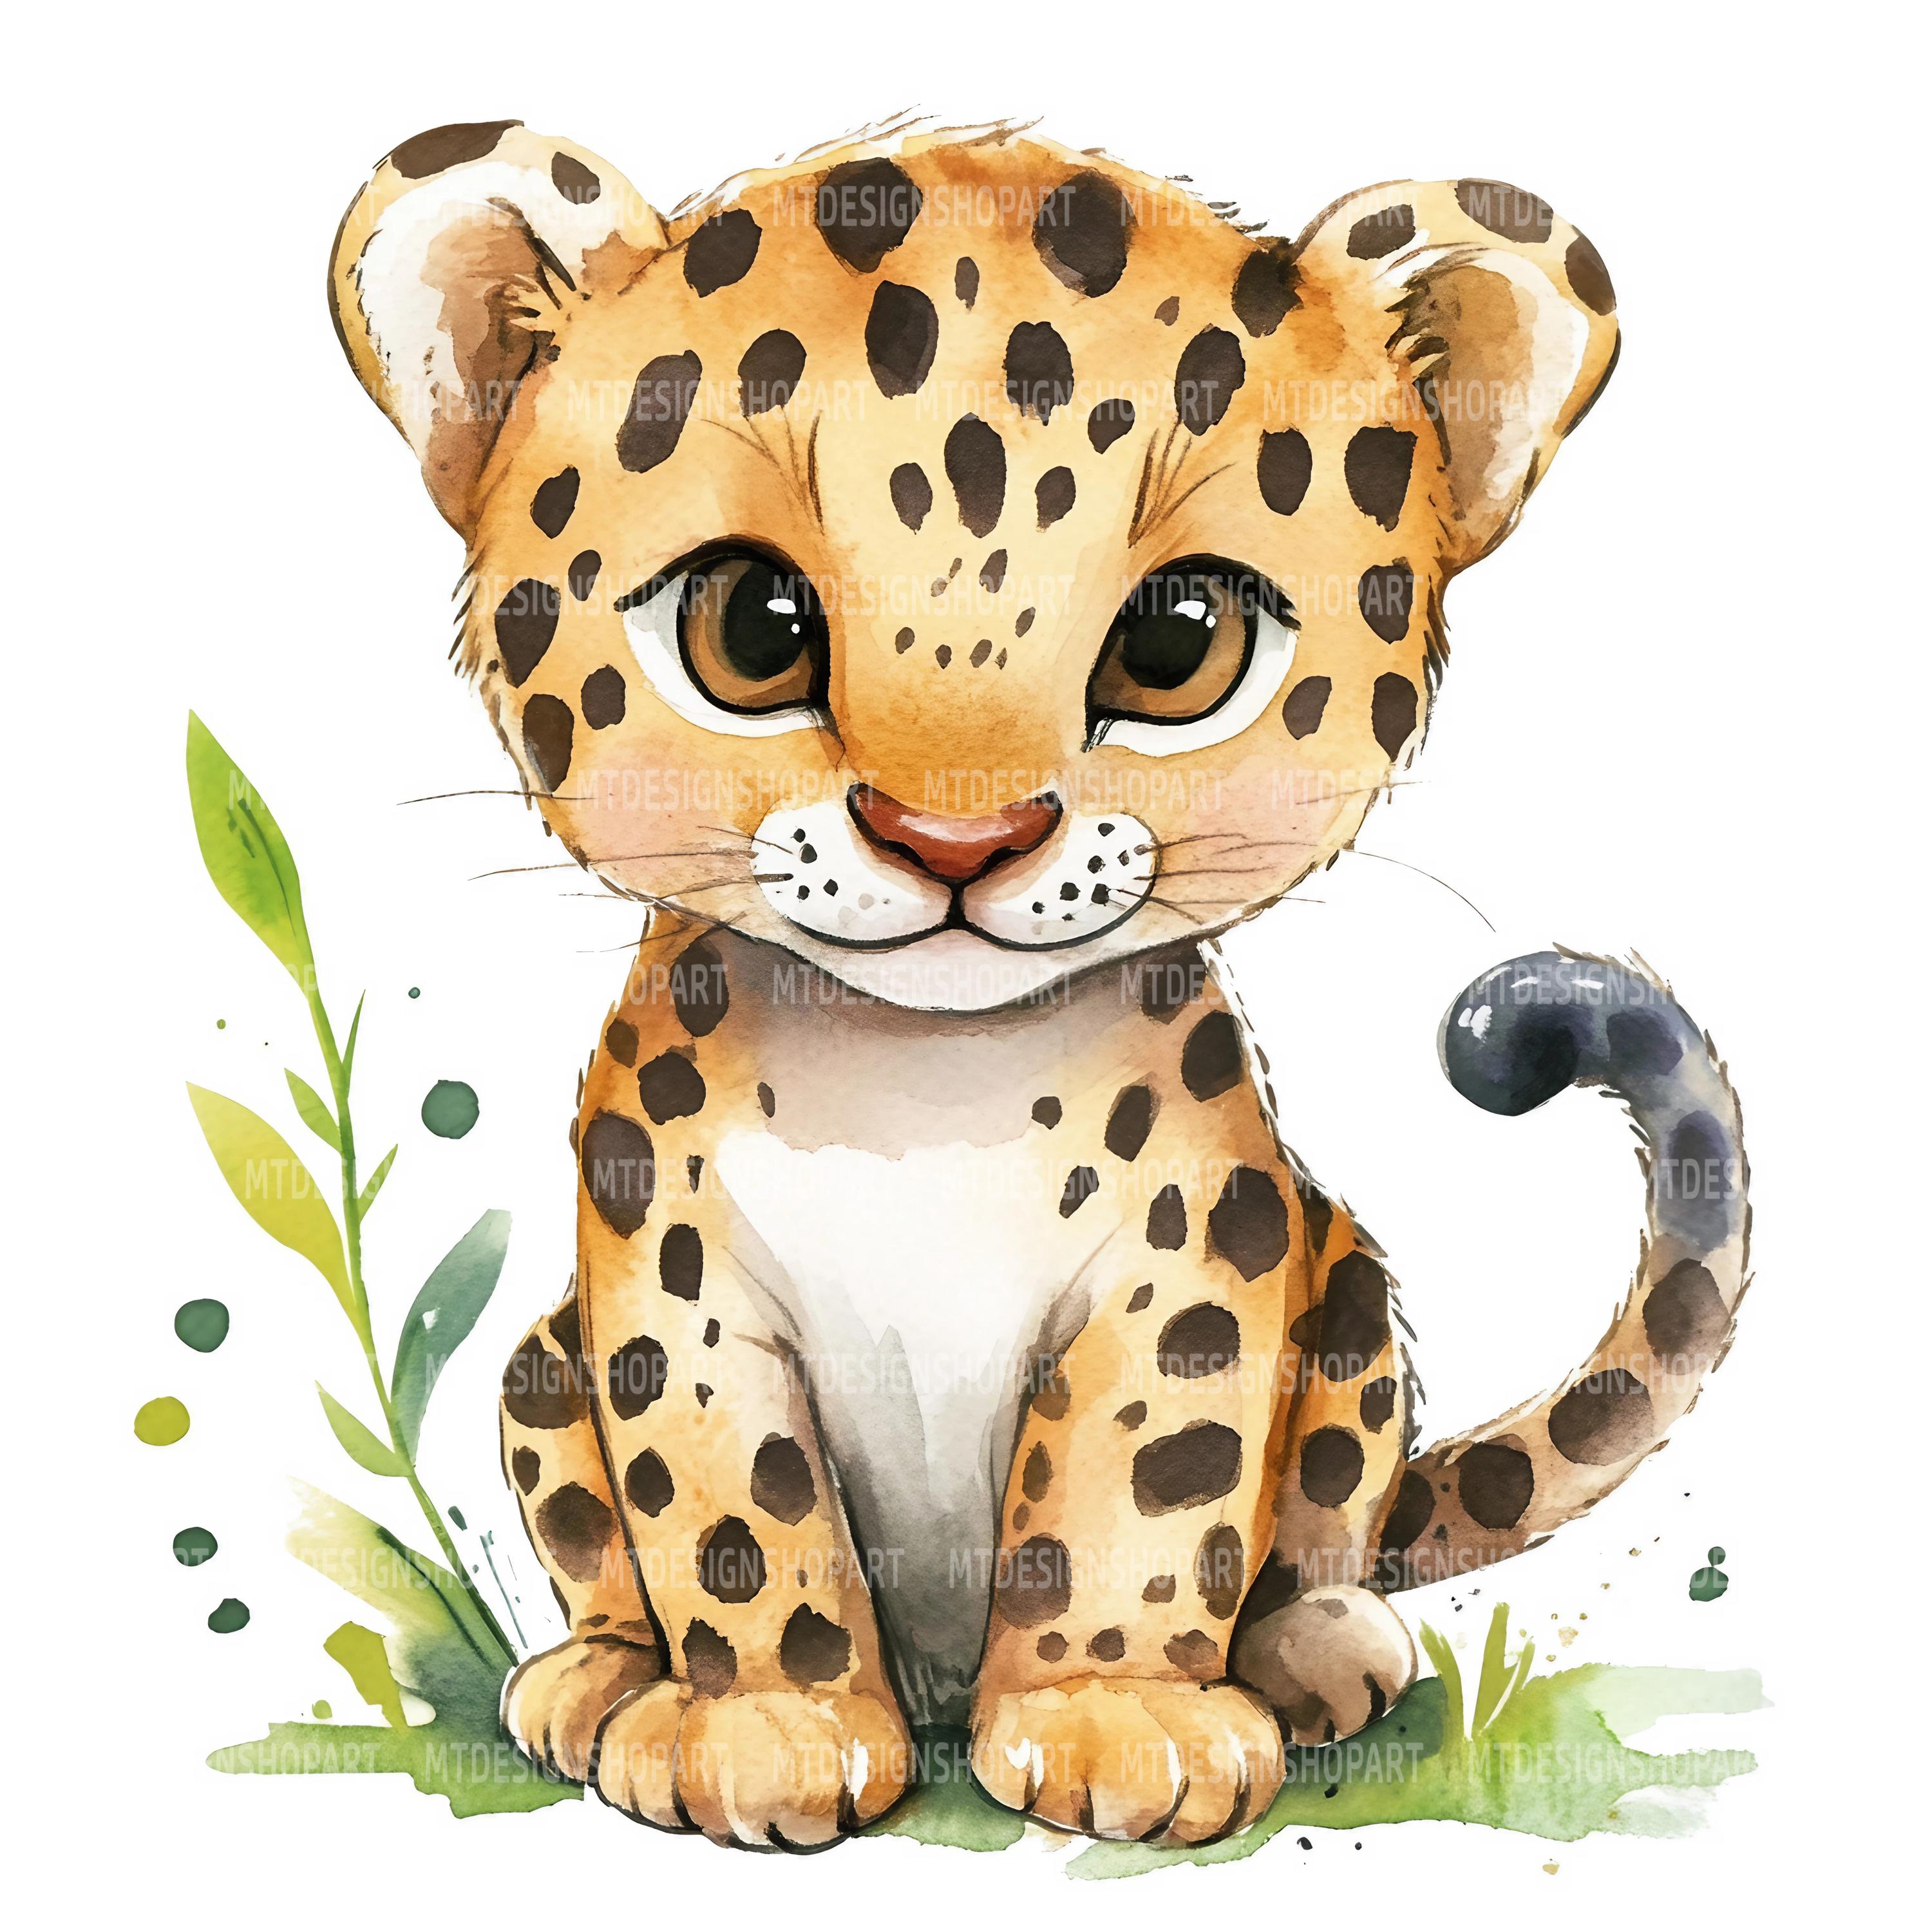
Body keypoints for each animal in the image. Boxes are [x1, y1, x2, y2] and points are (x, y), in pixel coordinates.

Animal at [328, 116, 1748, 1851]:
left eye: (1178, 643)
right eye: (752, 626)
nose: (958, 836)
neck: (925, 1089)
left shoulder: (1192, 1261)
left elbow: (1145, 1492)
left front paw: (1114, 1718)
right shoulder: (676, 1276)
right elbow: (729, 1507)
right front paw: (770, 1726)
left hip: (1346, 1290)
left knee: (1329, 1522)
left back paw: (1313, 1653)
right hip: (543, 1355)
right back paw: (594, 1679)